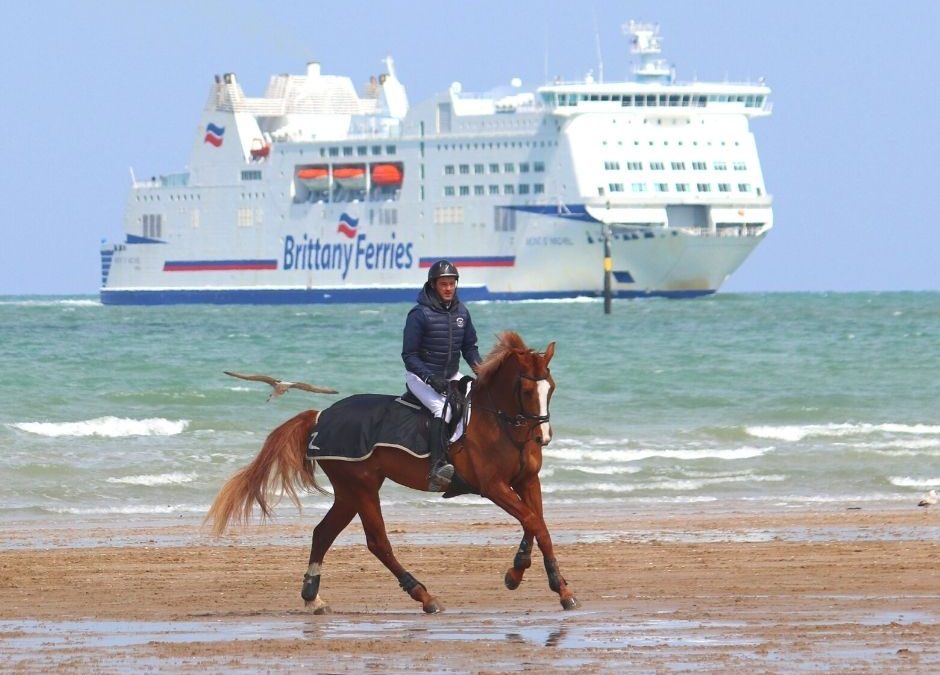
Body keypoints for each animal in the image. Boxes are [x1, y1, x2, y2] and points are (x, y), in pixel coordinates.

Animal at [205, 330, 579, 614]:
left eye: (552, 387)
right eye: (527, 390)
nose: (543, 437)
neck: (502, 425)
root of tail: (321, 416)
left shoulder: (526, 481)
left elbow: (537, 524)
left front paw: (541, 580)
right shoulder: (493, 486)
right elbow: (533, 522)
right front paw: (539, 581)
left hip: (349, 491)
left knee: (323, 533)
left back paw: (313, 598)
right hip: (362, 486)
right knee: (378, 542)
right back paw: (424, 596)